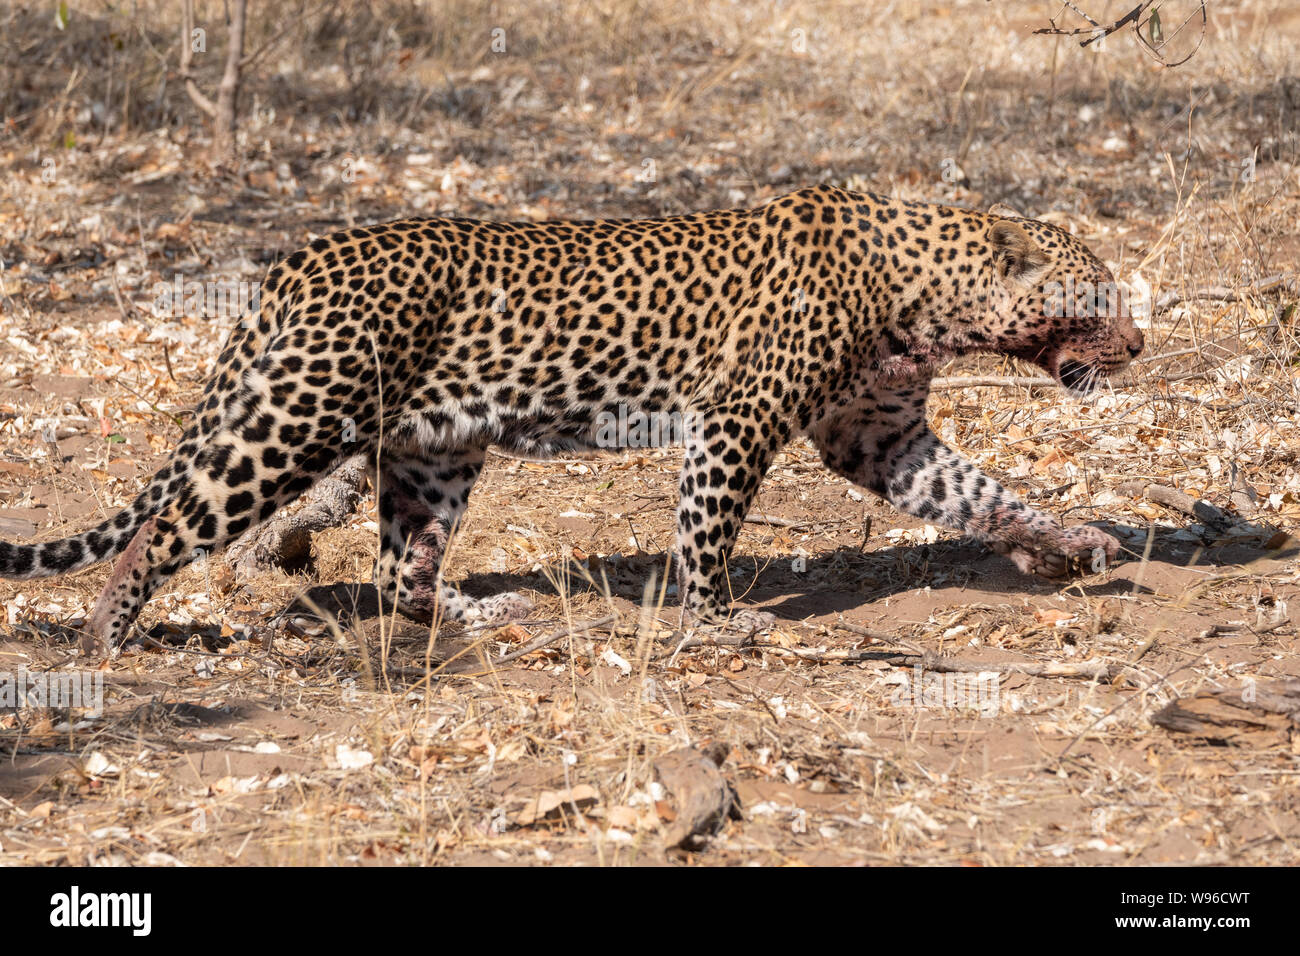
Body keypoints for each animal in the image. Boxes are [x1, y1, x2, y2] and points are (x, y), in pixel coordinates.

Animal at [0, 185, 1143, 654]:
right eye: (1095, 295)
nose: (1138, 347)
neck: (928, 298)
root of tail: (299, 258)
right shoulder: (734, 421)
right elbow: (707, 532)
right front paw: (715, 619)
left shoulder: (880, 434)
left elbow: (982, 494)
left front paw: (1072, 541)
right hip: (297, 418)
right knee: (165, 525)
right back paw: (106, 635)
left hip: (437, 448)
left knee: (401, 569)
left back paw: (479, 614)